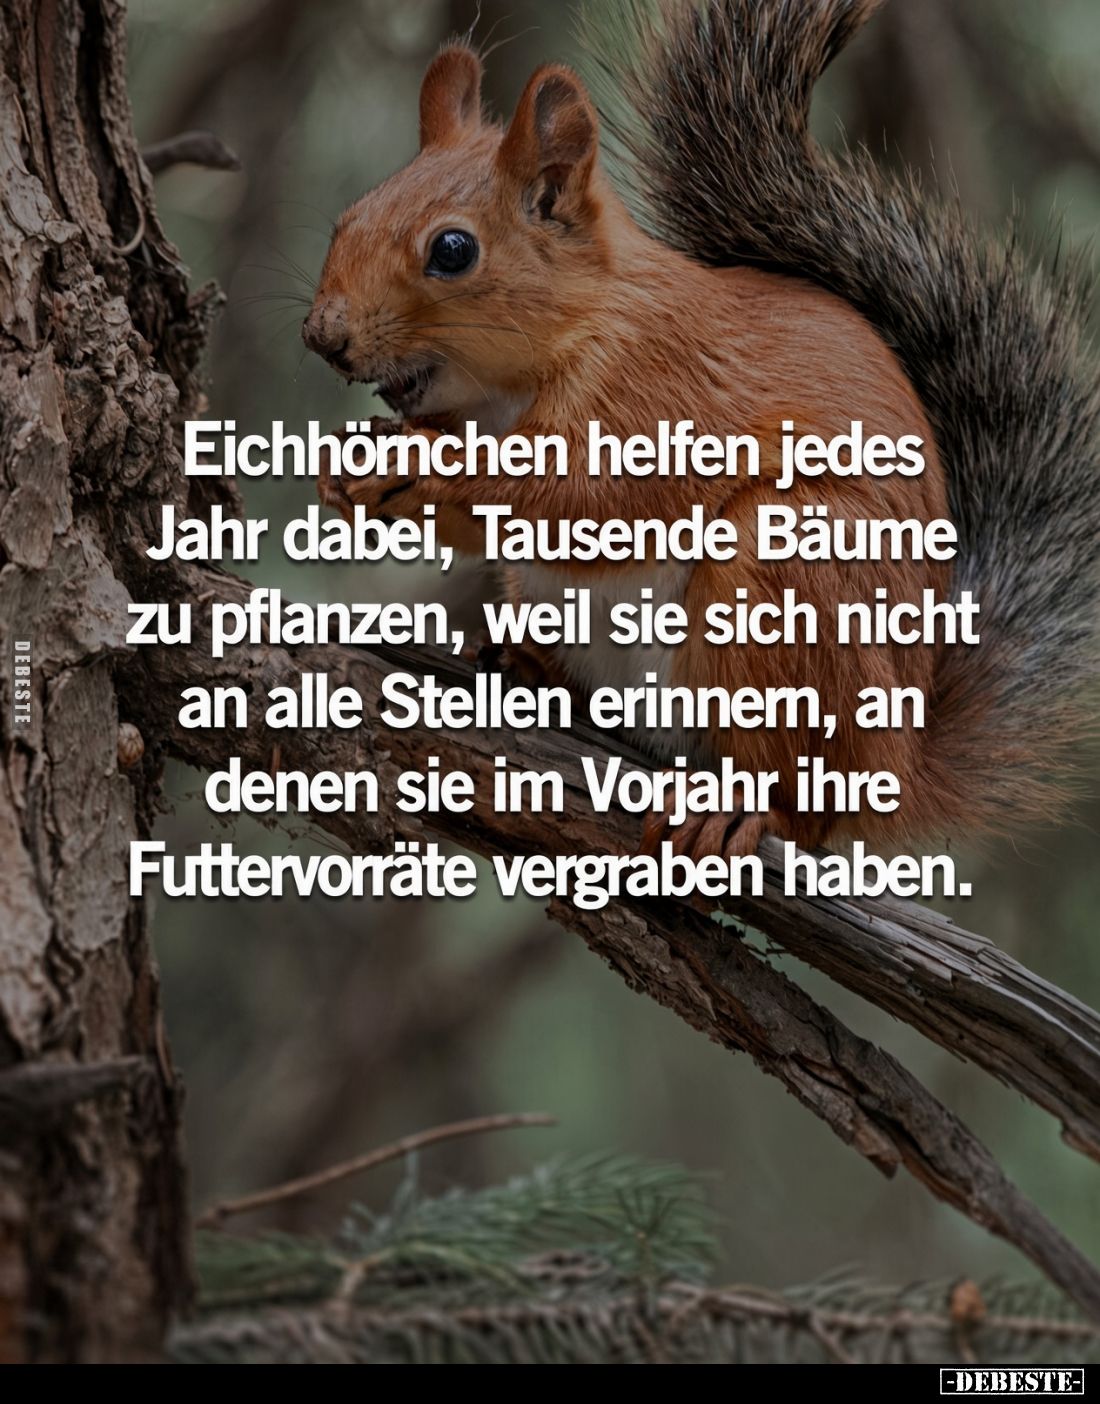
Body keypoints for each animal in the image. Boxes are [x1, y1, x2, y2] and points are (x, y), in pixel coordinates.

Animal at [302, 0, 1100, 860]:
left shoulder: (662, 391)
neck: (512, 387)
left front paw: (419, 465)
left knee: (800, 797)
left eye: (453, 249)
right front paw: (342, 469)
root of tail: (901, 756)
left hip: (784, 580)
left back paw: (737, 806)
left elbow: (588, 498)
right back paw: (523, 665)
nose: (323, 335)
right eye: (346, 219)